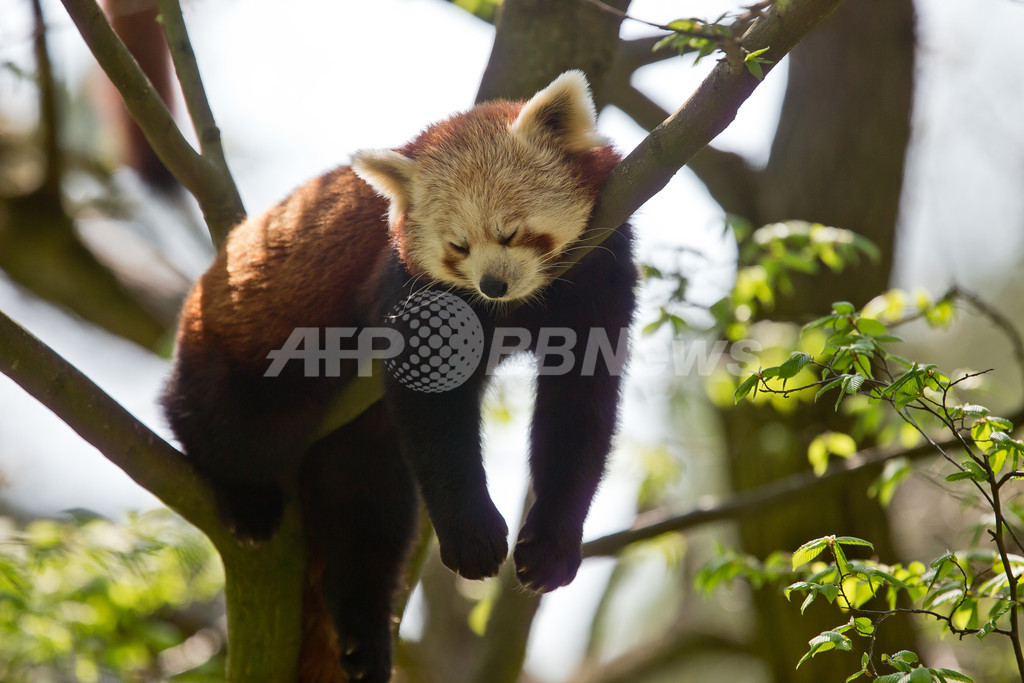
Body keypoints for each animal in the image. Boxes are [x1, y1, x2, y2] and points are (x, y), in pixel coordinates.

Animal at [162, 72, 634, 679]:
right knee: (219, 422)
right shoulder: (403, 287)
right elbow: (434, 414)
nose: (493, 286)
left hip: (356, 444)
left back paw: (363, 634)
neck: (523, 306)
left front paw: (551, 544)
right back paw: (247, 498)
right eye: (458, 246)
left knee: (369, 519)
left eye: (510, 233)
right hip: (234, 352)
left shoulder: (599, 279)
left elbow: (579, 415)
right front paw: (472, 535)